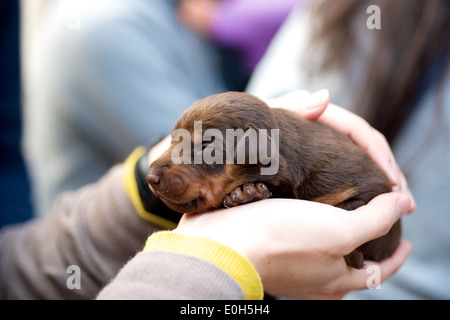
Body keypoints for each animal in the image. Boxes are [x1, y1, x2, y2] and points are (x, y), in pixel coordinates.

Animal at [147, 91, 400, 268]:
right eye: (173, 139)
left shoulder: (368, 185)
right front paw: (247, 193)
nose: (151, 177)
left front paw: (247, 193)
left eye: (206, 145)